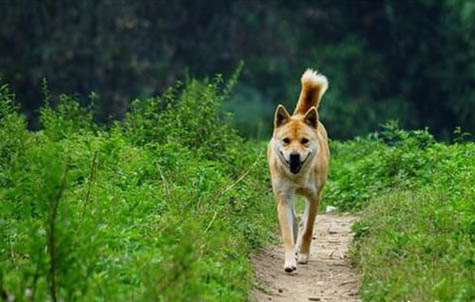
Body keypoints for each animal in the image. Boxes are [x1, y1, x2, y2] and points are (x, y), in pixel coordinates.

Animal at [268, 69, 330, 272]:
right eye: (286, 140)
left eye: (304, 141)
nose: (294, 156)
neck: (299, 176)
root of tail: (300, 114)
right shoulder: (284, 196)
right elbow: (288, 233)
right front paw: (289, 261)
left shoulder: (314, 196)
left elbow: (309, 227)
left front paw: (302, 254)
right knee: (295, 220)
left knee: (303, 222)